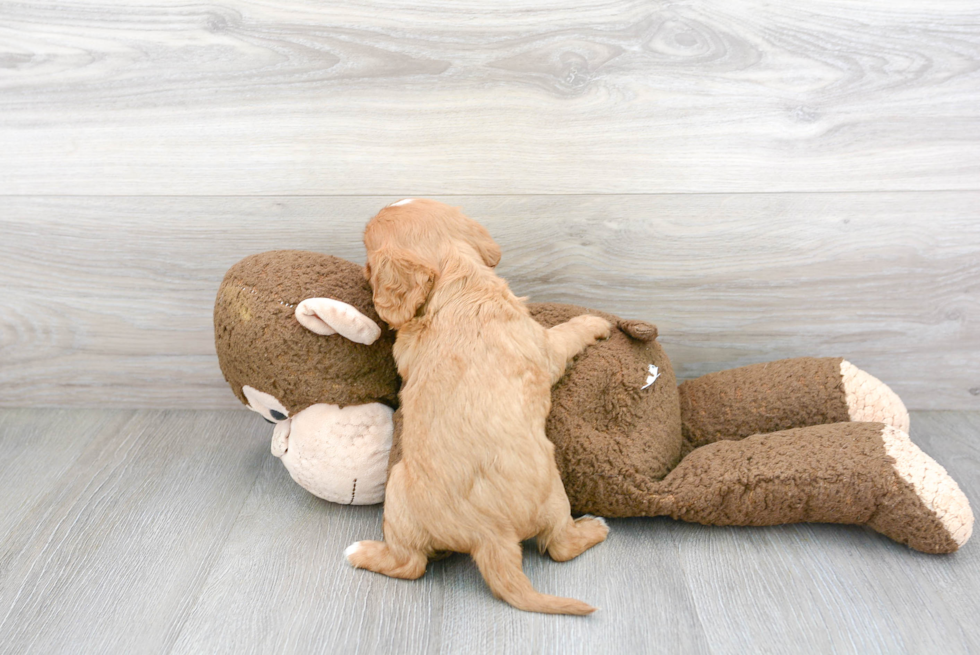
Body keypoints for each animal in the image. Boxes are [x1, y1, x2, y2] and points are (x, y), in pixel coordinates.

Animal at [348, 199, 612, 616]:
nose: (362, 272)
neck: (457, 280)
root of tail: (490, 535)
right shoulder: (546, 347)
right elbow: (569, 332)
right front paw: (595, 321)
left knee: (416, 562)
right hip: (548, 496)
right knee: (557, 546)